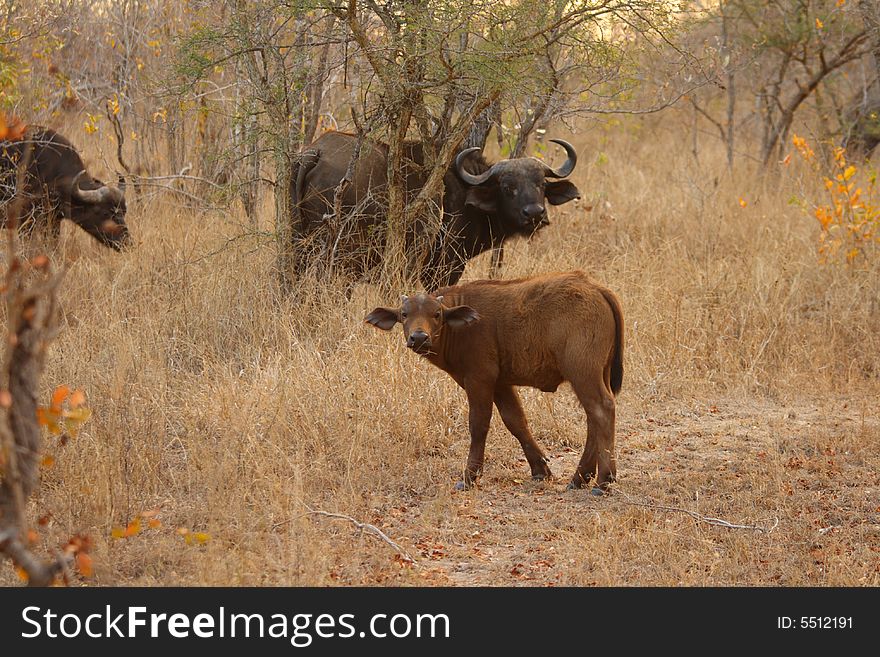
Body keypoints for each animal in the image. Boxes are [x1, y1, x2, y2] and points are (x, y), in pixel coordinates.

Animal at [366, 270, 624, 492]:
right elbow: (516, 421)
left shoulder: (479, 379)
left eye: (436, 314)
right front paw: (540, 469)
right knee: (593, 418)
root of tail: (595, 287)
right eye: (404, 314)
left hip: (582, 371)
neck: (460, 328)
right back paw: (580, 477)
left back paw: (603, 480)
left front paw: (469, 477)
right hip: (599, 372)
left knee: (601, 409)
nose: (419, 337)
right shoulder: (501, 384)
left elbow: (478, 425)